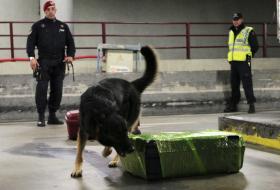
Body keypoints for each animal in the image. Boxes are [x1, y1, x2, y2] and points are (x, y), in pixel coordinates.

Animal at [70, 46, 158, 178]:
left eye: (124, 132)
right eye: (117, 134)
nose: (132, 149)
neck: (101, 109)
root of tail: (131, 84)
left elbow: (108, 146)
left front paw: (107, 151)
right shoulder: (83, 130)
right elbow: (79, 153)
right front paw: (77, 168)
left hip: (130, 120)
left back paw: (114, 160)